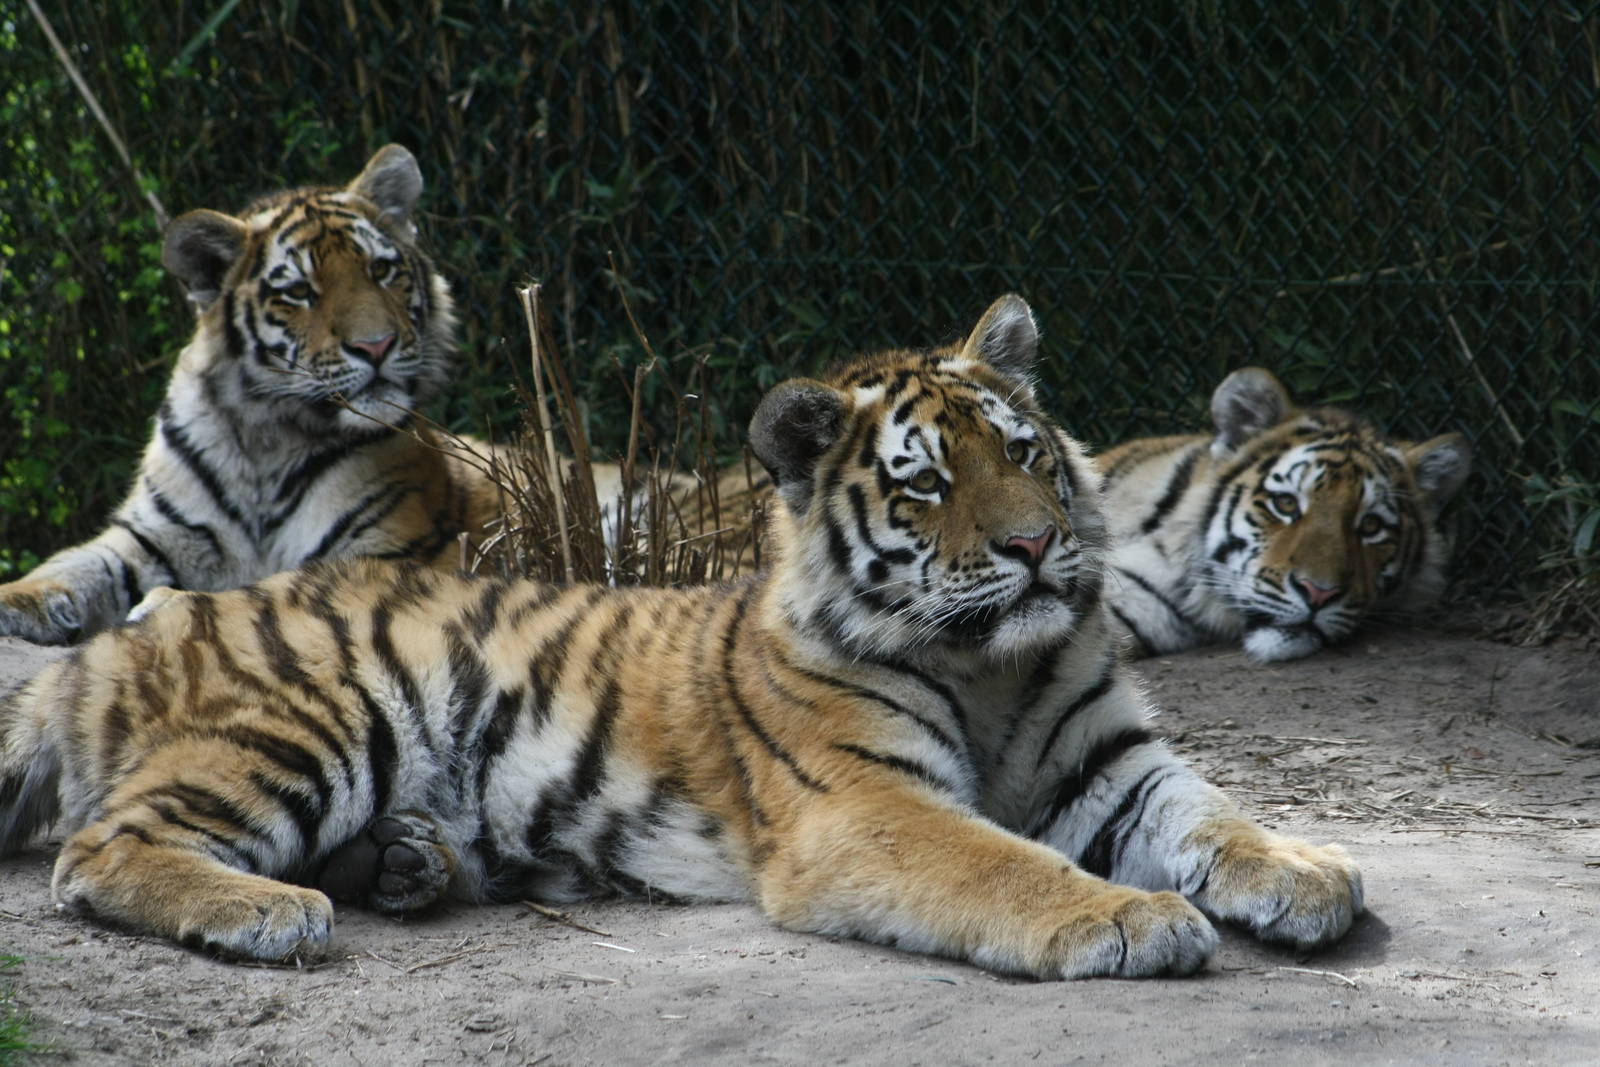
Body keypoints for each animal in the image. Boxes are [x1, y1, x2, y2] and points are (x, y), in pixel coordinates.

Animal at [0, 145, 508, 645]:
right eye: (299, 292)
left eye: (381, 270)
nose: (376, 346)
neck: (266, 438)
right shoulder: (150, 535)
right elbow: (74, 562)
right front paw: (15, 596)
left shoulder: (393, 554)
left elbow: (267, 591)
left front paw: (166, 602)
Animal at [0, 296, 1362, 978]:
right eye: (927, 483)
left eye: (1024, 452)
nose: (1034, 545)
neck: (995, 666)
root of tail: (127, 633)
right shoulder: (865, 805)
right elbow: (1002, 862)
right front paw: (1128, 919)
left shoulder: (1113, 765)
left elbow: (1217, 814)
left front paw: (1308, 874)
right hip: (310, 715)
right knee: (105, 847)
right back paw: (273, 910)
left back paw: (406, 863)